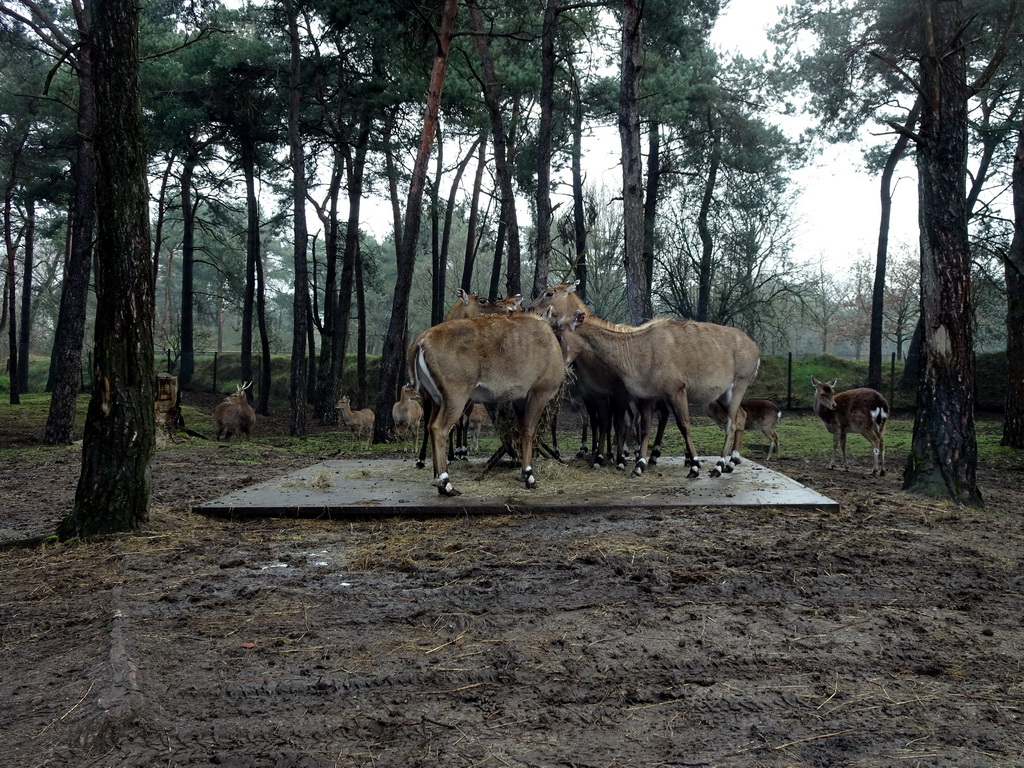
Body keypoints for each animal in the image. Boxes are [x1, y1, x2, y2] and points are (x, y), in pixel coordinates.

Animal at [409, 313, 569, 499]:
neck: (552, 335)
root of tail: (421, 341)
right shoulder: (538, 393)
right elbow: (530, 431)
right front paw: (529, 476)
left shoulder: (519, 399)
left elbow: (523, 430)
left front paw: (525, 473)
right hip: (455, 398)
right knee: (438, 429)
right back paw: (446, 484)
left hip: (435, 400)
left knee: (429, 426)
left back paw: (439, 481)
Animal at [552, 309, 761, 479]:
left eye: (559, 336)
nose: (558, 366)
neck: (638, 349)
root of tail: (755, 348)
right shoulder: (647, 397)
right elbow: (645, 428)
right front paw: (639, 465)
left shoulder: (676, 390)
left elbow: (684, 425)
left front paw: (694, 466)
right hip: (721, 395)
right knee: (741, 416)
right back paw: (731, 462)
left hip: (738, 385)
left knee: (731, 423)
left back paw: (719, 465)